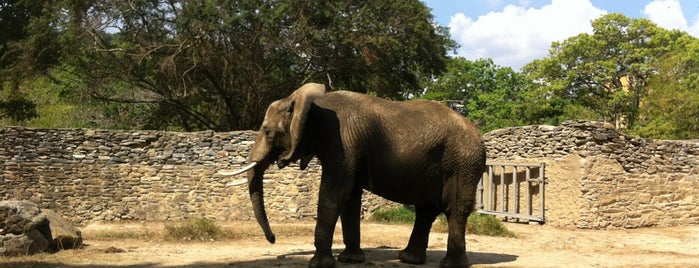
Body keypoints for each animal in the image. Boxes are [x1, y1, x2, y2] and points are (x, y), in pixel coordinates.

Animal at [230, 82, 486, 266]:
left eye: (267, 131)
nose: (273, 239)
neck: (312, 105)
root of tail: (478, 134)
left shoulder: (342, 143)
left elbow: (333, 194)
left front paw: (320, 264)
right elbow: (350, 197)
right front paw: (349, 260)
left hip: (463, 161)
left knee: (455, 208)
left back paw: (450, 264)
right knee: (425, 210)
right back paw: (409, 260)